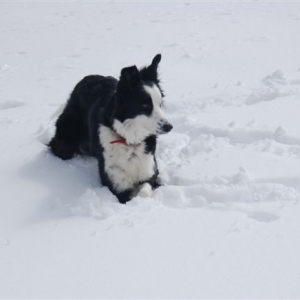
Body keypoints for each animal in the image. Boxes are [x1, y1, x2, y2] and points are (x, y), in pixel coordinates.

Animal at [48, 54, 172, 204]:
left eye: (160, 104)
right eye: (145, 105)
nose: (169, 127)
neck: (129, 142)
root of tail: (84, 80)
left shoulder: (150, 173)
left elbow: (144, 192)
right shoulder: (118, 185)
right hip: (66, 140)